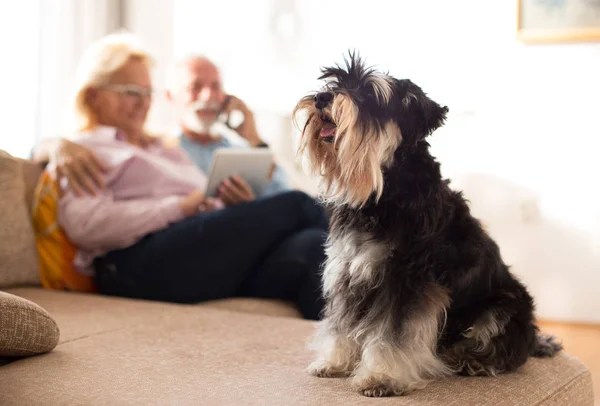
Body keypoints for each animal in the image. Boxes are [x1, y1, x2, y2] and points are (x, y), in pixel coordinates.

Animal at [292, 52, 564, 398]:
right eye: (335, 82)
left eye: (370, 94)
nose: (321, 98)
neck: (385, 189)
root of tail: (533, 338)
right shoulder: (347, 272)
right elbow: (340, 324)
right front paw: (334, 362)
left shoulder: (405, 281)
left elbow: (393, 335)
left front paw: (382, 377)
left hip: (502, 307)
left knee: (505, 351)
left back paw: (470, 361)